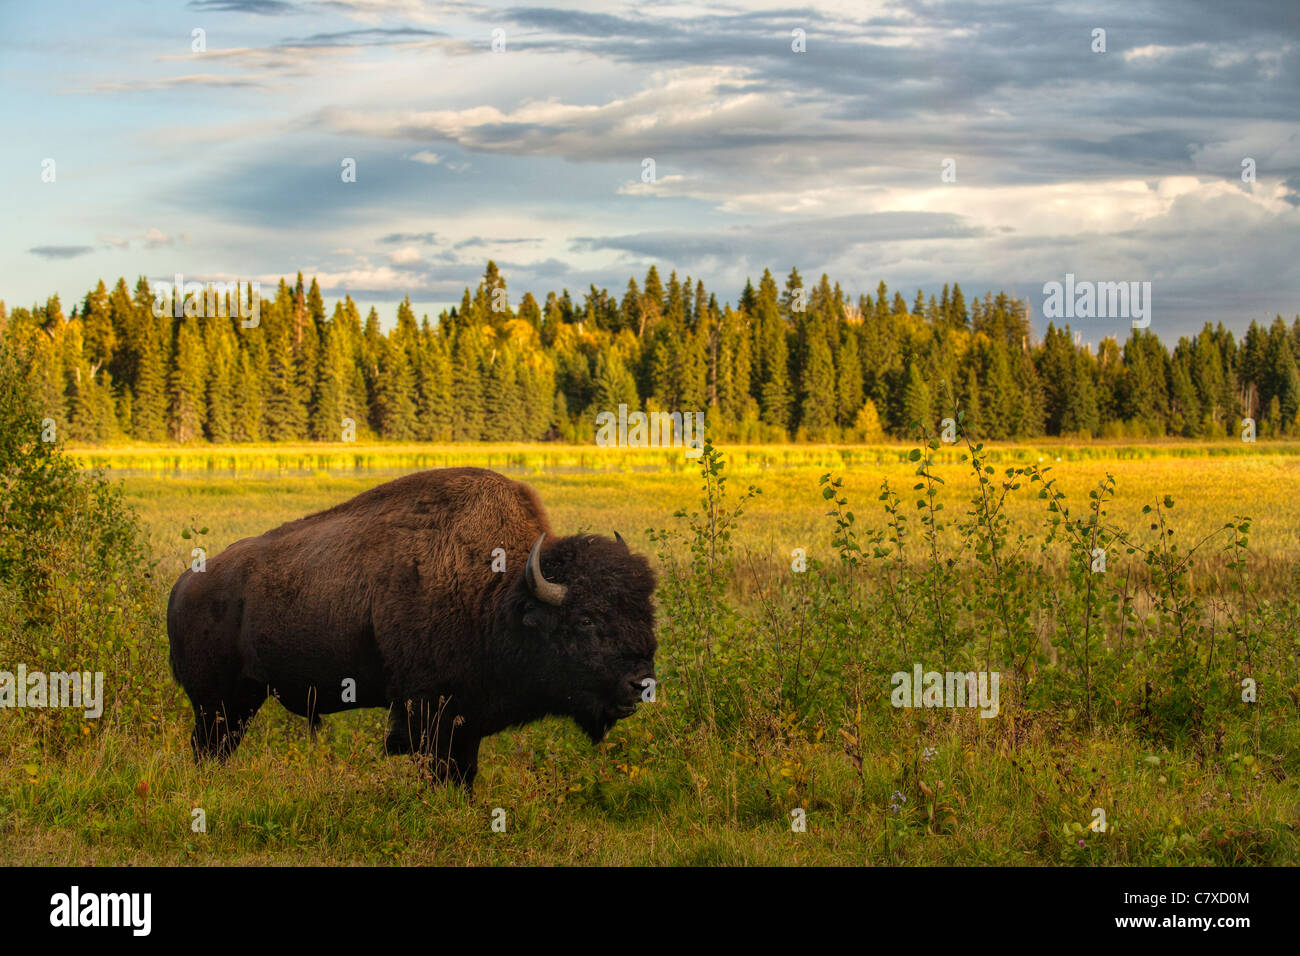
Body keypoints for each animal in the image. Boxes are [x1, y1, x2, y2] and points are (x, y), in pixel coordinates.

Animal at [166, 468, 660, 790]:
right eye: (586, 619)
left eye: (645, 612)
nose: (641, 684)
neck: (500, 592)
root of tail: (185, 583)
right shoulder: (427, 709)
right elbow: (440, 768)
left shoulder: (466, 716)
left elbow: (464, 769)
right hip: (215, 702)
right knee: (207, 746)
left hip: (242, 700)